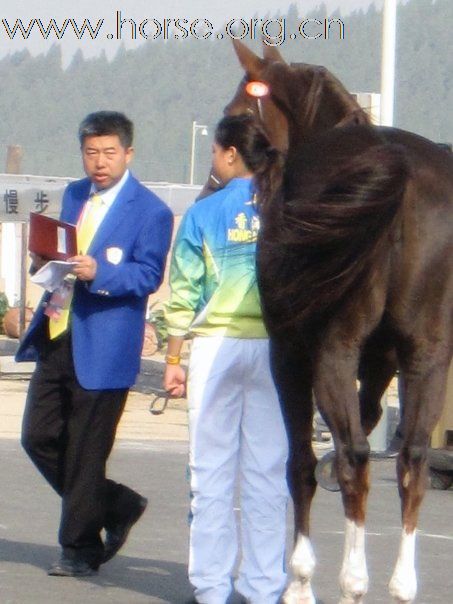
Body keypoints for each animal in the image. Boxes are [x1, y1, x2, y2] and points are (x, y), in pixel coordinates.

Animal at [223, 40, 452, 600]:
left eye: (239, 111)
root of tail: (401, 171)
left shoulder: (289, 354)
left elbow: (302, 461)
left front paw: (300, 579)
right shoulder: (382, 361)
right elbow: (368, 424)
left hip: (330, 350)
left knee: (354, 457)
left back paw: (352, 581)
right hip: (428, 353)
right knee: (413, 460)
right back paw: (401, 584)